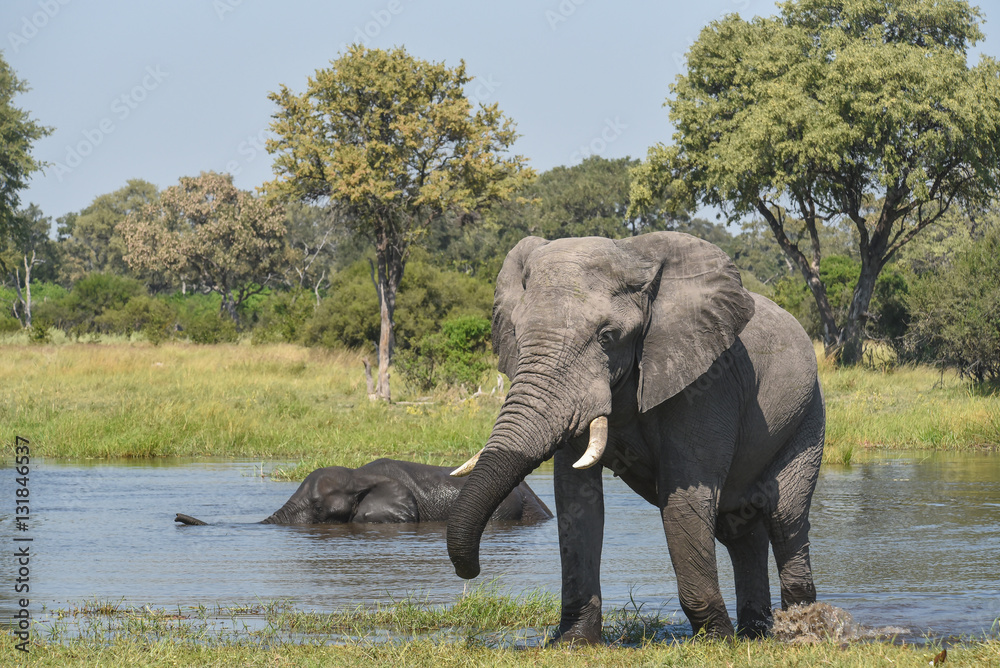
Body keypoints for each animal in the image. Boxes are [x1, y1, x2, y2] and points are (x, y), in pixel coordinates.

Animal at [446, 232, 825, 643]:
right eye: (516, 333)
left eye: (607, 337)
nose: (471, 573)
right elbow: (576, 500)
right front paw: (574, 642)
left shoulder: (708, 381)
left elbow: (684, 497)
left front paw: (715, 640)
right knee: (741, 531)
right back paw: (755, 633)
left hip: (807, 416)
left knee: (785, 517)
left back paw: (802, 627)